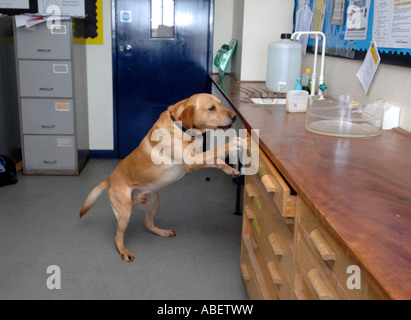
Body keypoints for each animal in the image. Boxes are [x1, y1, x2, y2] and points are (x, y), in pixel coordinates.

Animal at [79, 93, 243, 262]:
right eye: (211, 108)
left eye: (221, 104)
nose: (234, 116)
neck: (183, 129)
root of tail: (109, 179)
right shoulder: (191, 161)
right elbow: (216, 150)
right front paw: (233, 144)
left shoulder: (196, 159)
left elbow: (217, 159)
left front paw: (231, 169)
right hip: (124, 212)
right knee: (118, 238)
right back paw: (124, 251)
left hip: (154, 200)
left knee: (147, 223)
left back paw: (162, 232)